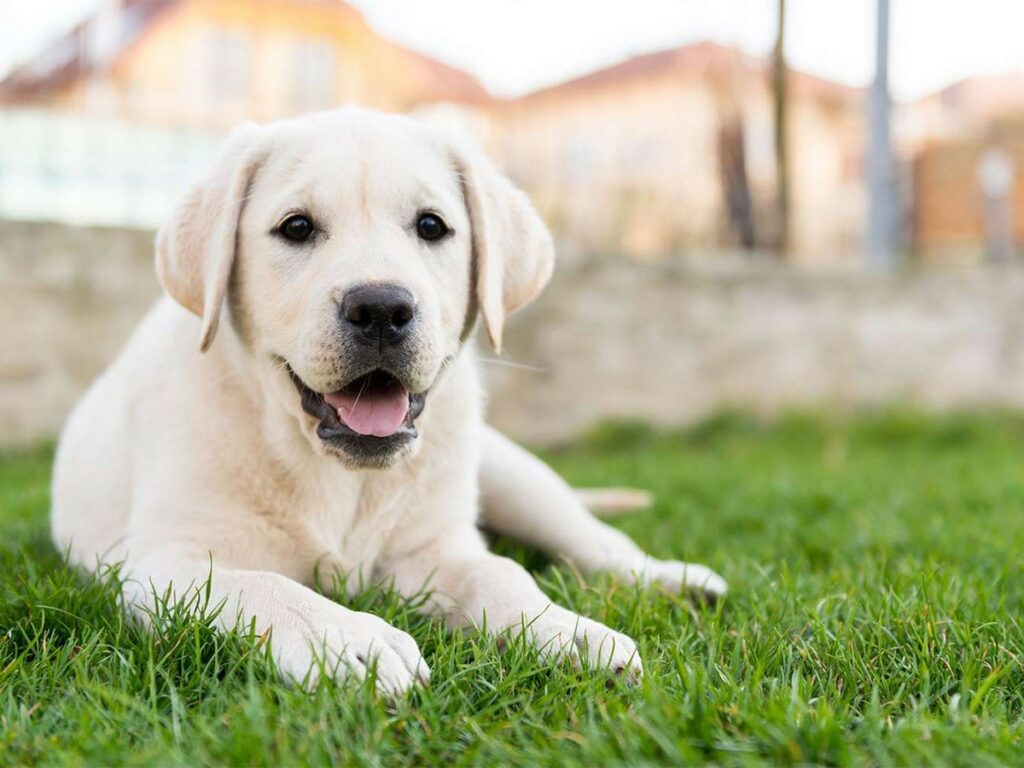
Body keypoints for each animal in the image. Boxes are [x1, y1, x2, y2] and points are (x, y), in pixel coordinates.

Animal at [51, 105, 724, 696]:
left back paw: (668, 578)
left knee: (592, 541)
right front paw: (346, 640)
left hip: (512, 473)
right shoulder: (168, 564)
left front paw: (564, 629)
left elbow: (499, 572)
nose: (380, 308)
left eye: (431, 226)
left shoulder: (433, 551)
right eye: (296, 227)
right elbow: (264, 586)